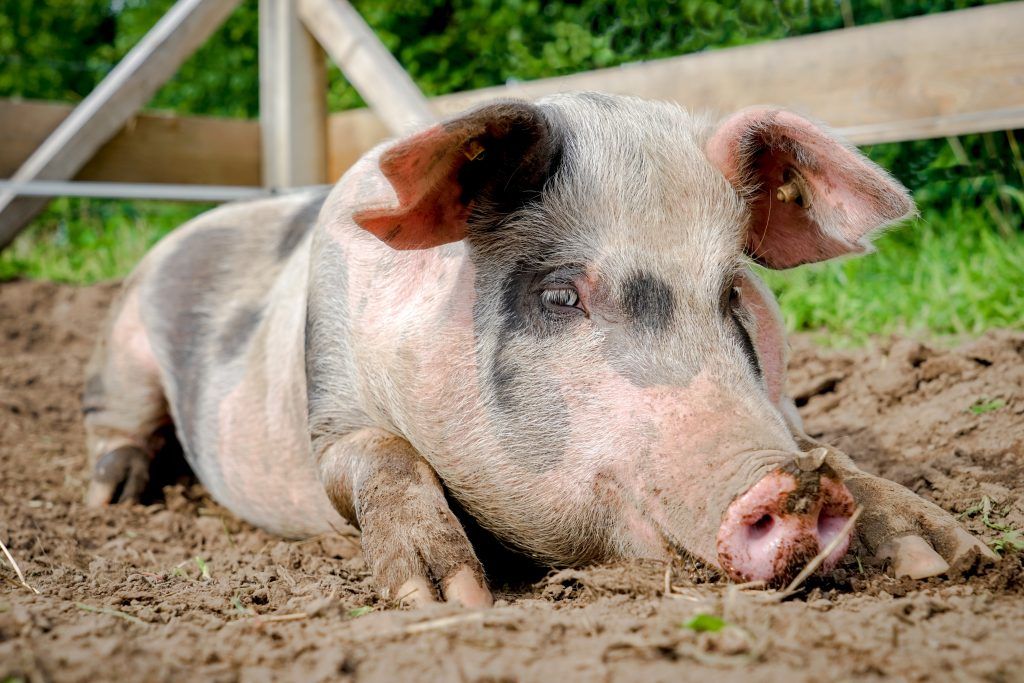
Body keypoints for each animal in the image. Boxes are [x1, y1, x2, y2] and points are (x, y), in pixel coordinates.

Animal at [83, 92, 995, 610]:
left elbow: (827, 443)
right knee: (115, 418)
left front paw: (946, 559)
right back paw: (111, 498)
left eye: (733, 292)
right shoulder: (327, 407)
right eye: (560, 295)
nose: (791, 485)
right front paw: (446, 598)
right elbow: (377, 452)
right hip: (122, 340)